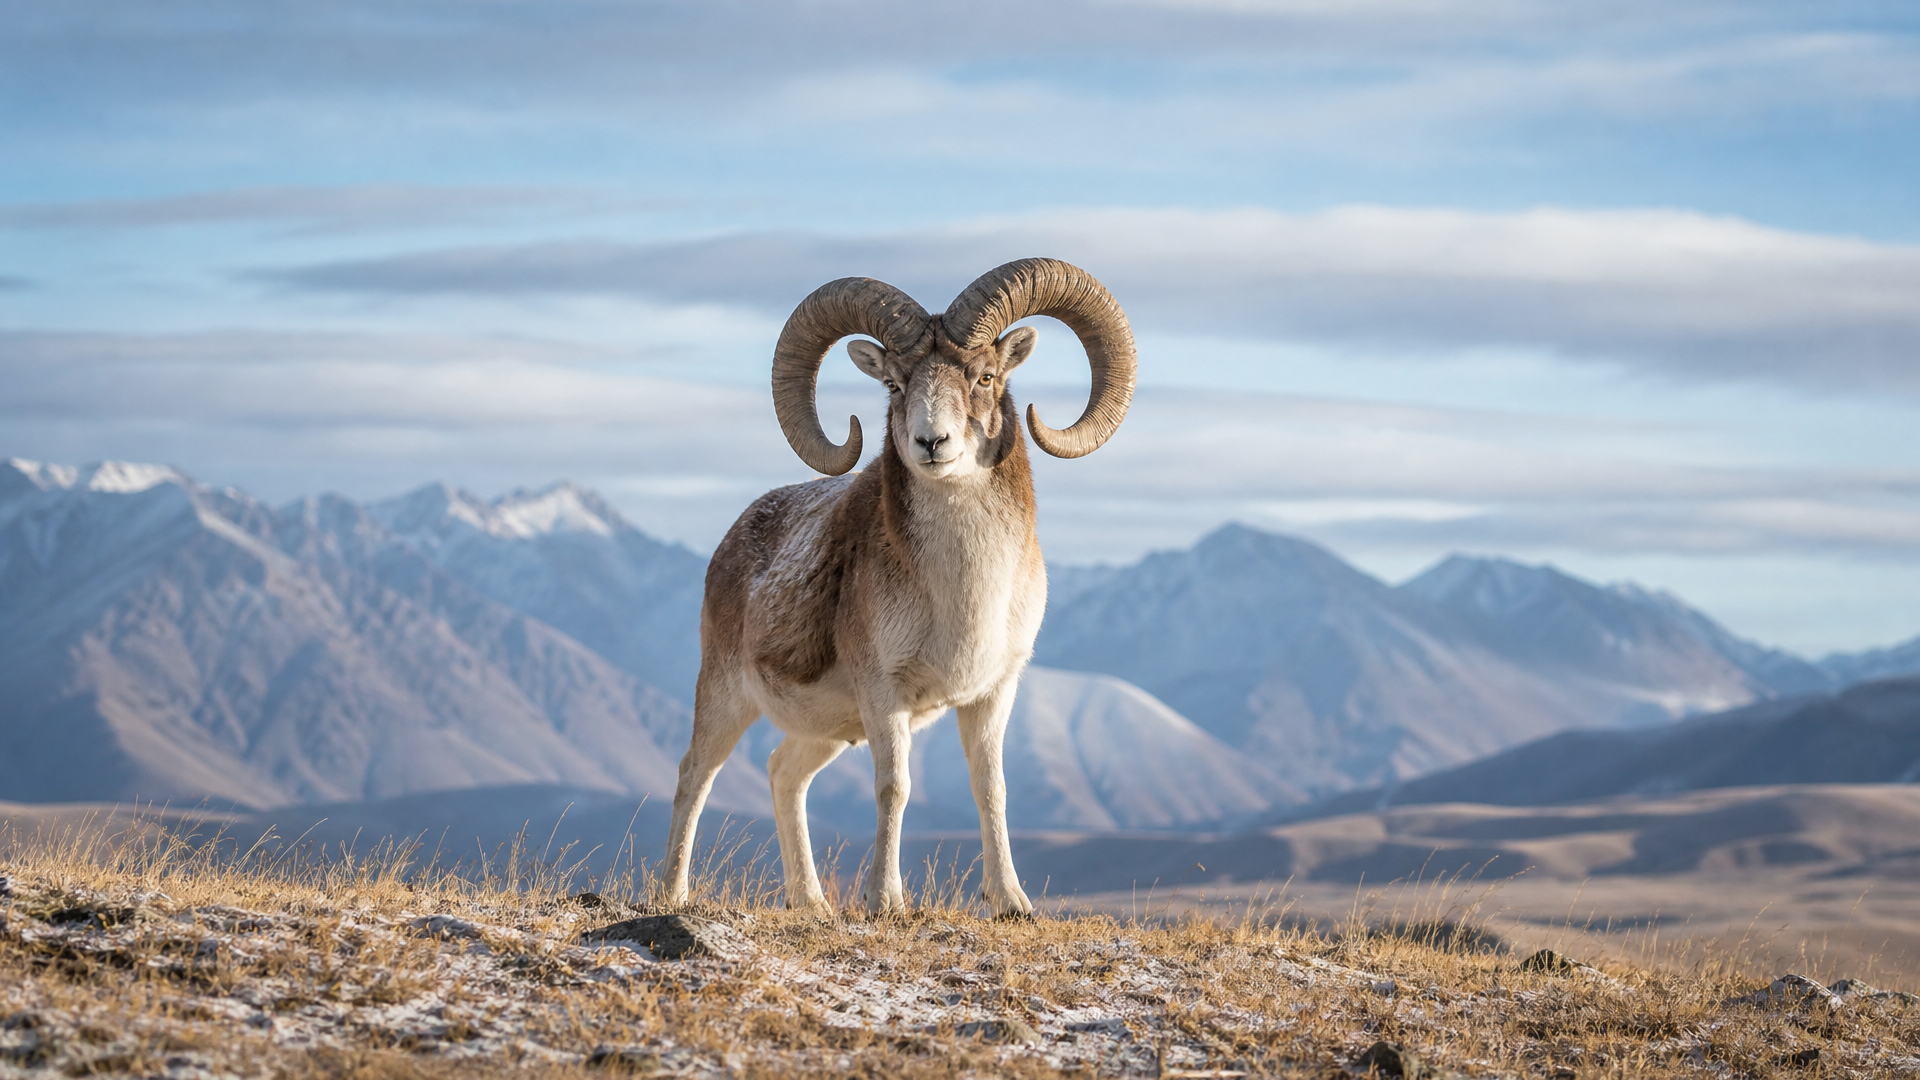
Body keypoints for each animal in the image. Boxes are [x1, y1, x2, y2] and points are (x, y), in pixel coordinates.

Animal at [661, 258, 1137, 917]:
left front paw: (1010, 902)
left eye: (985, 375)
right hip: (727, 698)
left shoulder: (993, 693)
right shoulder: (885, 694)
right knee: (694, 777)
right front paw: (885, 901)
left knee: (784, 774)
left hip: (826, 730)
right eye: (893, 384)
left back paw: (813, 905)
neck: (962, 592)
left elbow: (991, 789)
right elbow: (895, 788)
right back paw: (671, 895)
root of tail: (732, 541)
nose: (931, 443)